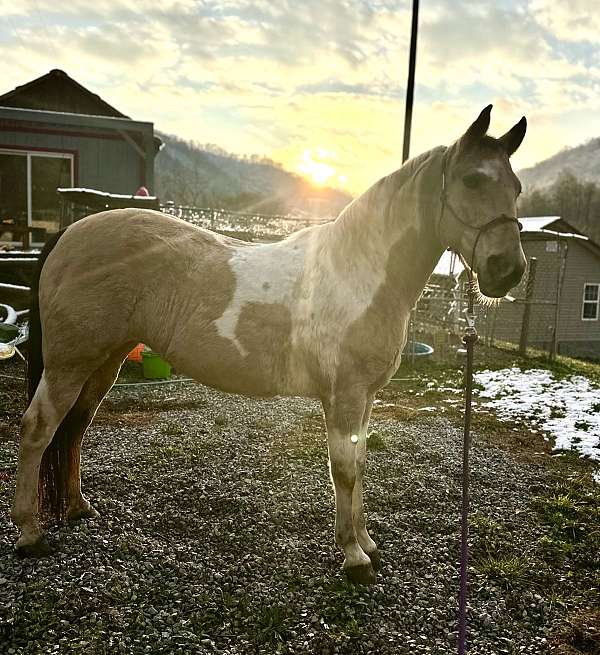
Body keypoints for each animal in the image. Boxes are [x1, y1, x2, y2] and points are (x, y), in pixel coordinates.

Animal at [9, 105, 524, 588]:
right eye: (473, 179)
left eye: (517, 188)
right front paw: (354, 558)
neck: (358, 270)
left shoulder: (365, 397)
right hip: (70, 363)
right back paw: (30, 534)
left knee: (75, 428)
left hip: (104, 361)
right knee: (39, 428)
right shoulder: (344, 396)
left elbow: (359, 463)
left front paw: (367, 542)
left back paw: (78, 508)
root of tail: (69, 235)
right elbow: (344, 470)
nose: (509, 271)